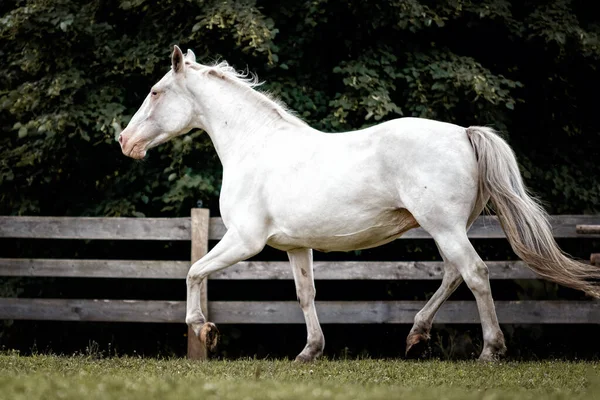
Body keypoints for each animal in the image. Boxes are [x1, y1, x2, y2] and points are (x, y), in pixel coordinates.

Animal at [118, 45, 600, 360]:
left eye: (156, 91)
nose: (125, 141)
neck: (255, 145)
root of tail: (465, 133)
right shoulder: (296, 246)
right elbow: (305, 294)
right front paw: (310, 351)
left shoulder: (244, 240)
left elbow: (193, 272)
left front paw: (204, 329)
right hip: (446, 229)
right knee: (453, 275)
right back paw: (416, 335)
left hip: (443, 226)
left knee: (476, 274)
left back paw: (490, 351)